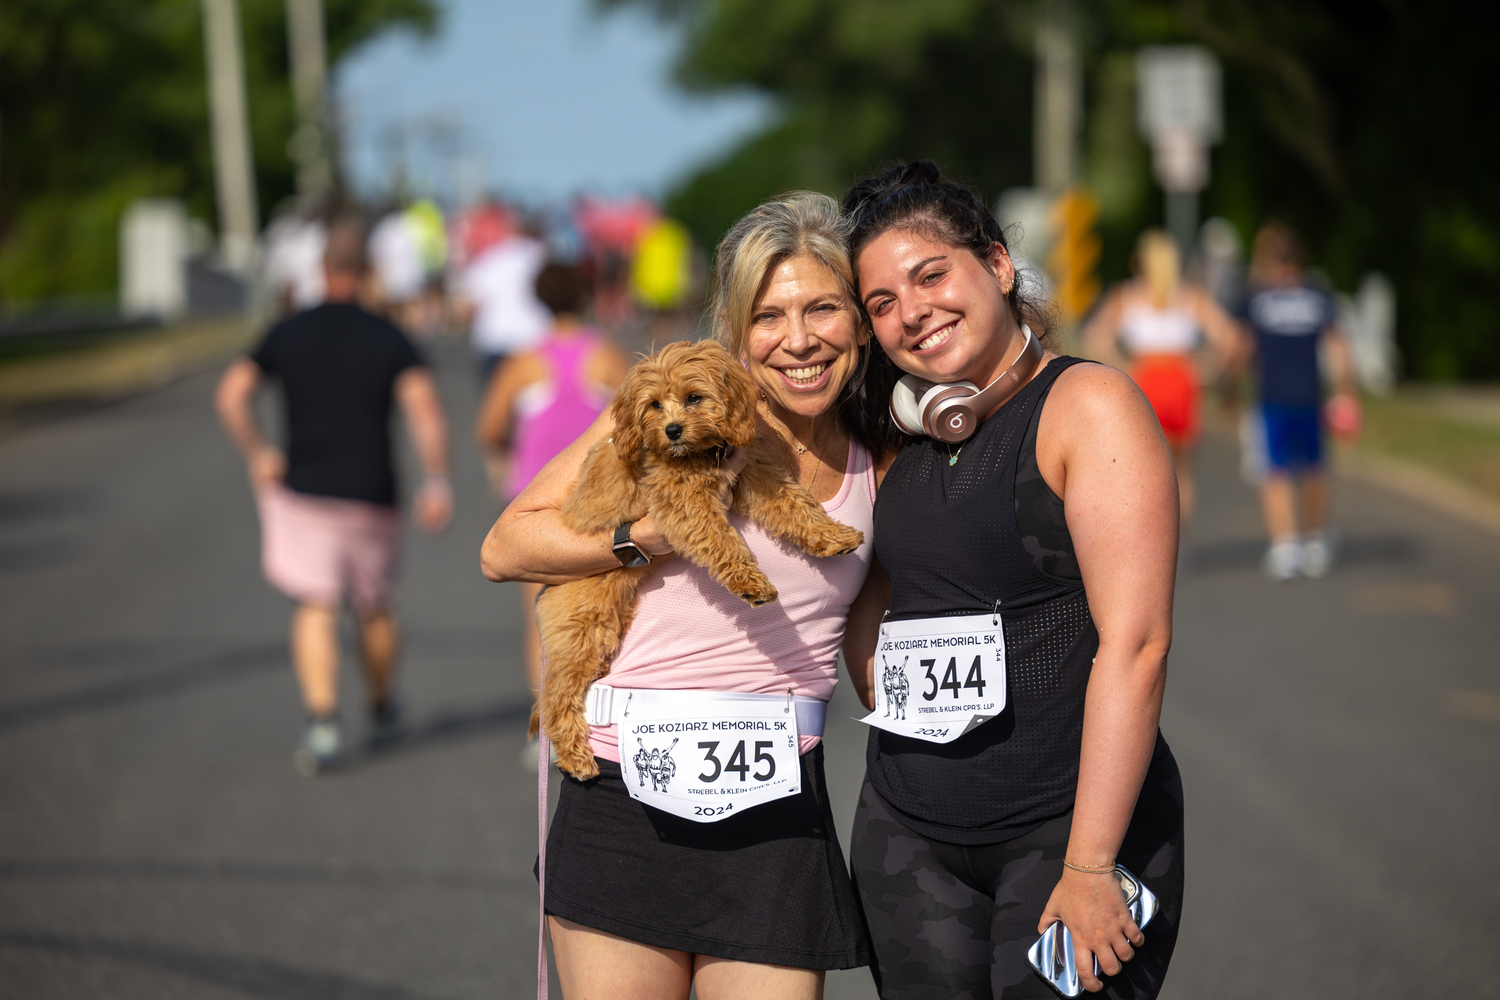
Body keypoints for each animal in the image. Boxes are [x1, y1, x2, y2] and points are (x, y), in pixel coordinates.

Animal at [531, 340, 864, 779]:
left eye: (693, 397)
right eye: (654, 404)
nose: (672, 430)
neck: (699, 453)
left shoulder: (757, 474)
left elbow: (796, 505)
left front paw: (835, 536)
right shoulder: (685, 503)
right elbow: (721, 540)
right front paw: (751, 582)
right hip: (583, 628)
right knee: (556, 695)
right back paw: (574, 757)